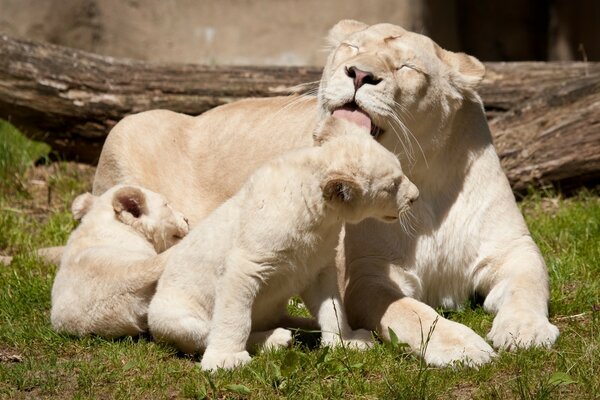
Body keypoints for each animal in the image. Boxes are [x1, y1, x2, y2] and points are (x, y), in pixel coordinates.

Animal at [92, 21, 556, 366]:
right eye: (351, 48)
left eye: (407, 66)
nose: (360, 74)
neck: (425, 181)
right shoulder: (365, 277)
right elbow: (413, 313)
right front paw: (461, 346)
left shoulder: (512, 247)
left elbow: (530, 282)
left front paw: (525, 330)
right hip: (126, 127)